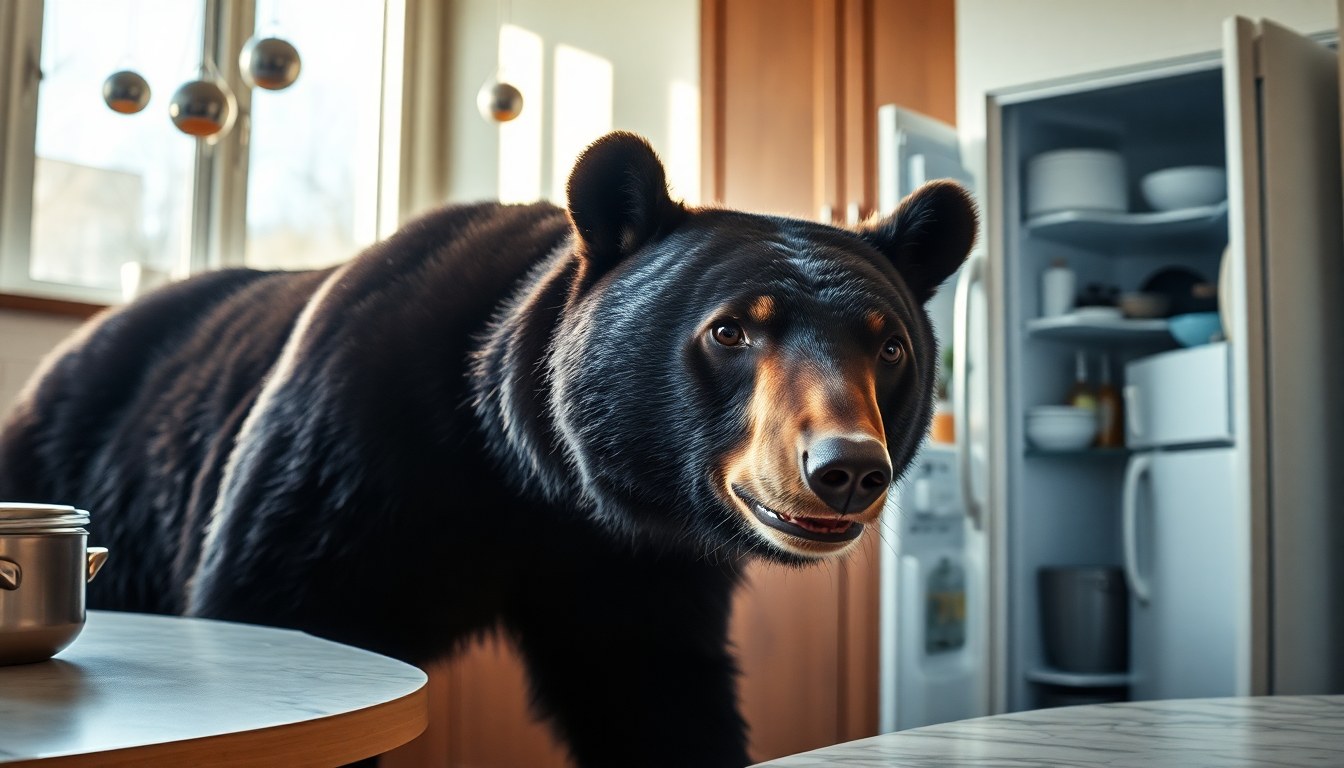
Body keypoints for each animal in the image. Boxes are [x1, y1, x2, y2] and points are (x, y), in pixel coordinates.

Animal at [0, 132, 975, 767]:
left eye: (888, 345)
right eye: (732, 329)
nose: (844, 468)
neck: (533, 478)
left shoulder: (635, 568)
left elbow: (659, 688)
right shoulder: (351, 464)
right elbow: (269, 590)